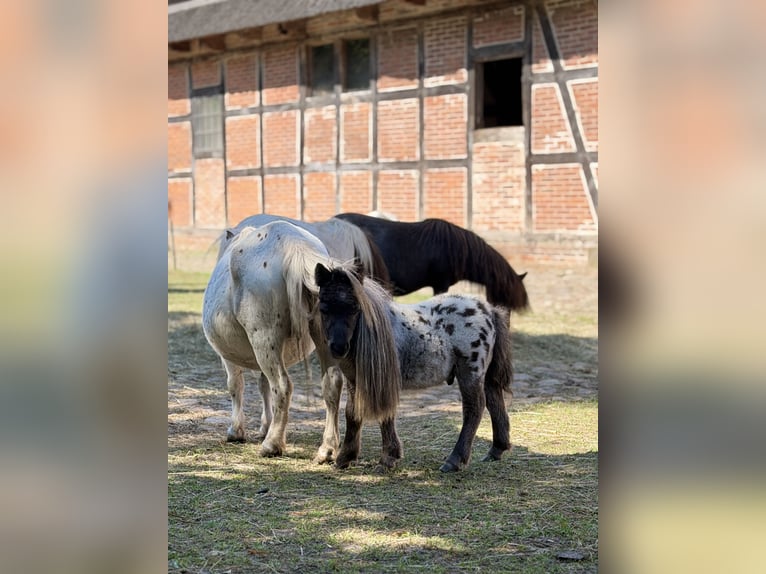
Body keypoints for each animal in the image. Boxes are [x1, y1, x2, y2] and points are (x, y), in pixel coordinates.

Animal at [202, 220, 346, 462]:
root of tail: (294, 245)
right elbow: (263, 387)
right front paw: (264, 426)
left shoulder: (228, 358)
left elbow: (235, 386)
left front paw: (236, 431)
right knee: (332, 383)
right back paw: (327, 449)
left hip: (264, 339)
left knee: (282, 385)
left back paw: (272, 445)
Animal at [313, 263, 514, 472]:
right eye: (323, 308)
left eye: (355, 308)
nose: (338, 347)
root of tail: (488, 310)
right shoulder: (354, 380)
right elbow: (352, 414)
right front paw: (345, 458)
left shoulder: (384, 383)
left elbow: (385, 416)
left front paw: (387, 459)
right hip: (486, 375)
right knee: (494, 401)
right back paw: (496, 450)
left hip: (470, 372)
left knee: (474, 408)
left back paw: (454, 460)